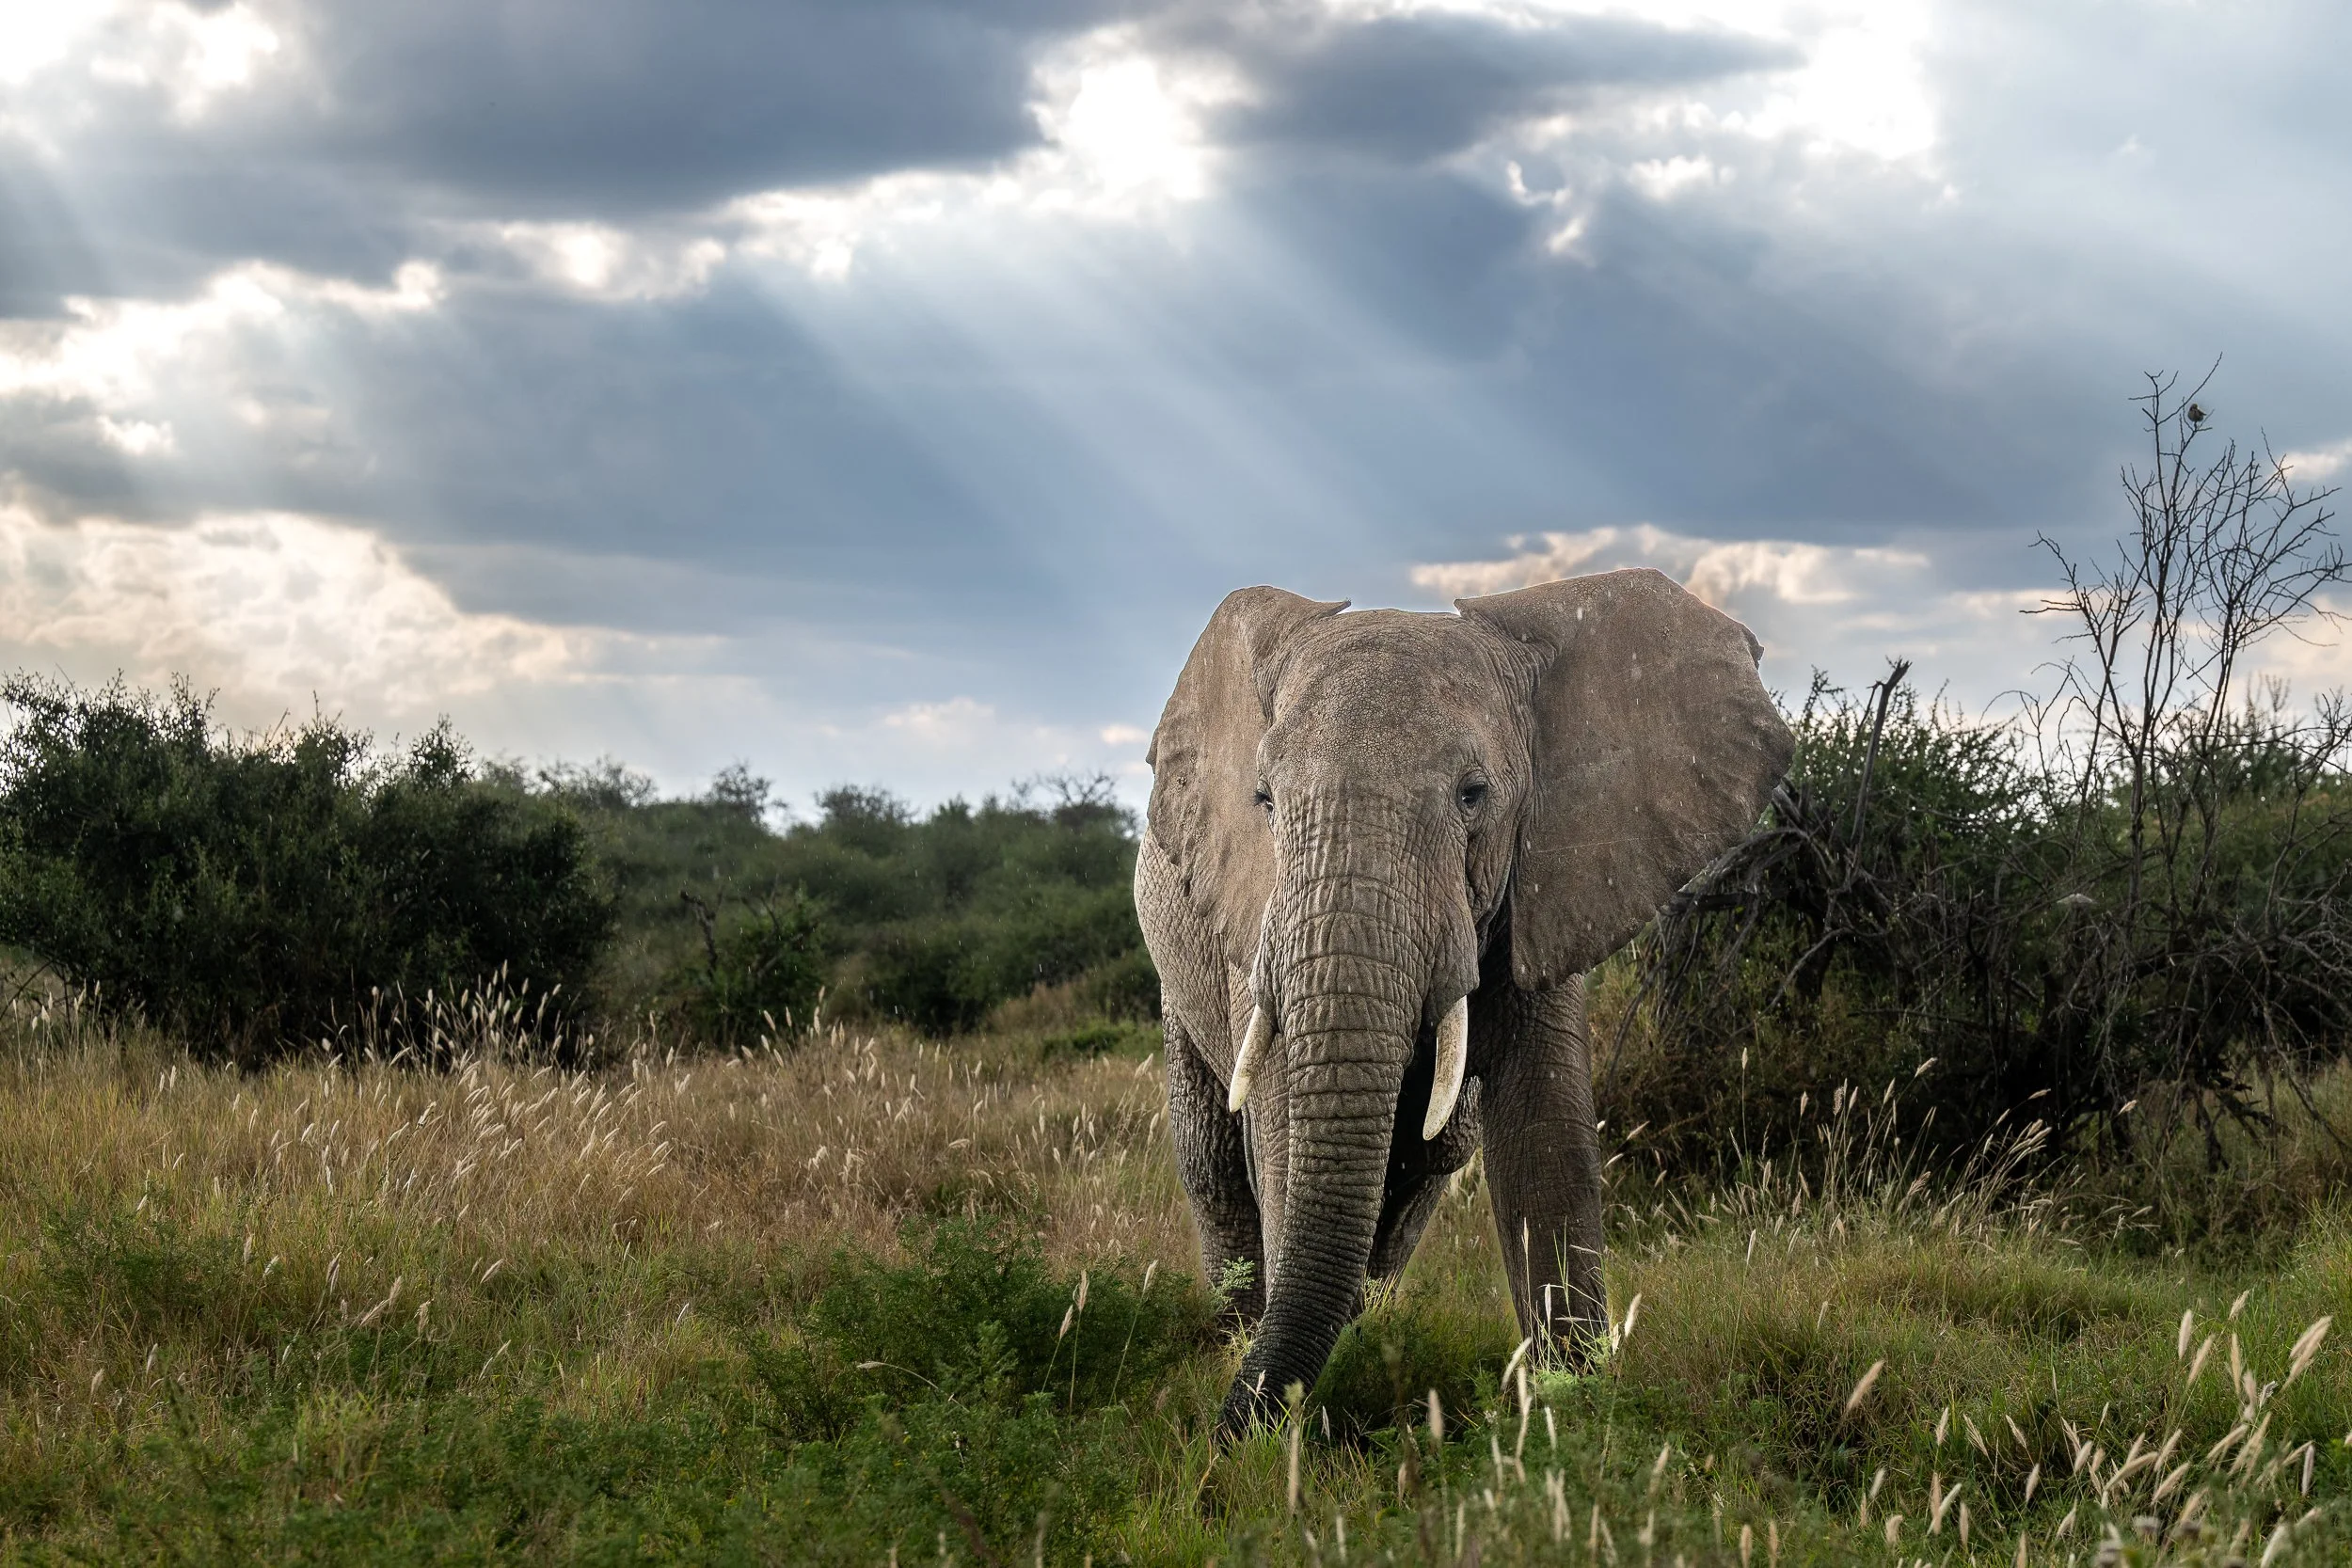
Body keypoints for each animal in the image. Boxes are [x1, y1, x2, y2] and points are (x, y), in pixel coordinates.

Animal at [1133, 568, 1793, 1437]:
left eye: (1474, 795)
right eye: (1264, 801)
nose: (1218, 1440)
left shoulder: (1547, 885)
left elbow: (1546, 1143)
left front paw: (1575, 1414)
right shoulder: (1257, 911)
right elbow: (1279, 1132)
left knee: (1423, 1163)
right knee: (1212, 1161)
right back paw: (1244, 1337)